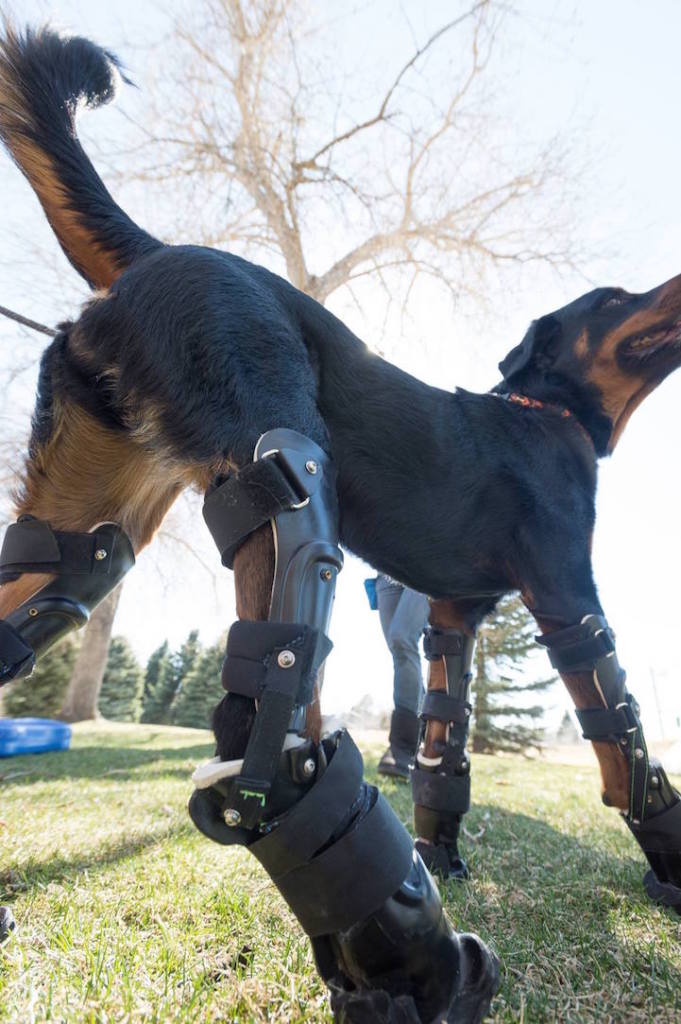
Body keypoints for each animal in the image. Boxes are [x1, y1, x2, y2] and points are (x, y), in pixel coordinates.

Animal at [1, 18, 679, 966]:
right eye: (615, 299)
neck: (544, 413)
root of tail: (161, 251)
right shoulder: (566, 595)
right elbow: (625, 745)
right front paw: (668, 862)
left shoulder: (450, 619)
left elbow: (443, 751)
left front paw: (441, 854)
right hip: (277, 465)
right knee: (272, 711)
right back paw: (407, 957)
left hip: (92, 514)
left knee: (54, 587)